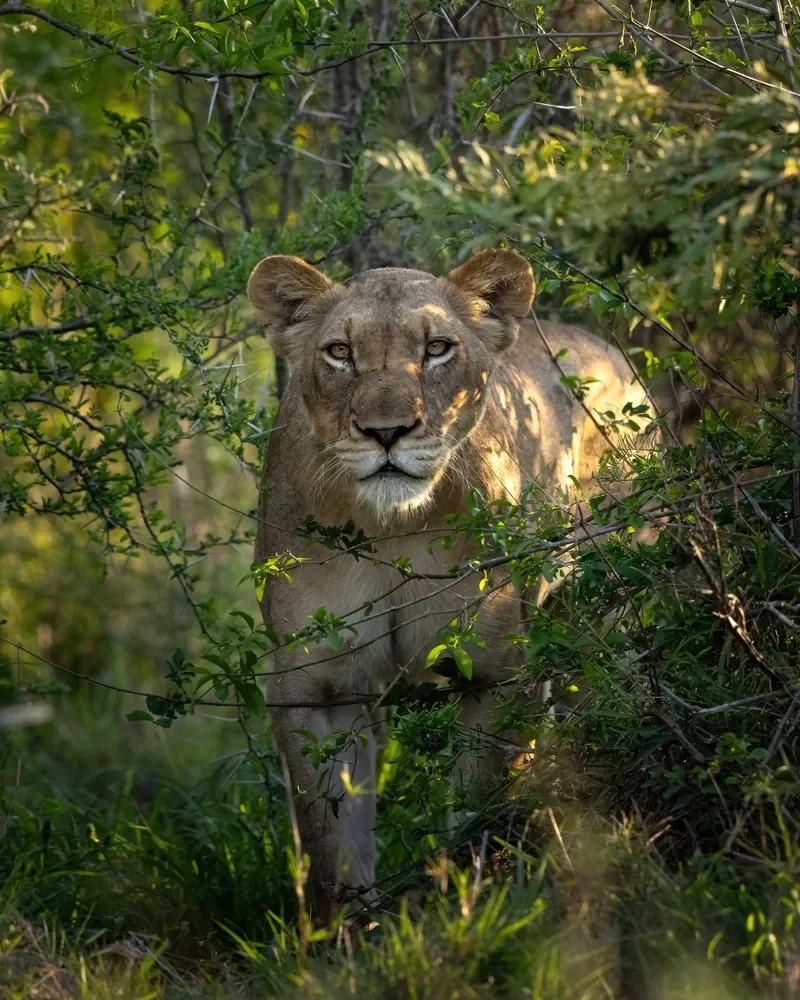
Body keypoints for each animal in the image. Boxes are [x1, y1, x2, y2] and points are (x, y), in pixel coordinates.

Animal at [247, 249, 651, 923]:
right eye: (340, 353)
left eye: (437, 349)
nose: (387, 432)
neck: (389, 526)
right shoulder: (317, 688)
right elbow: (330, 843)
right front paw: (347, 935)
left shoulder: (490, 671)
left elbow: (478, 812)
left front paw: (465, 911)